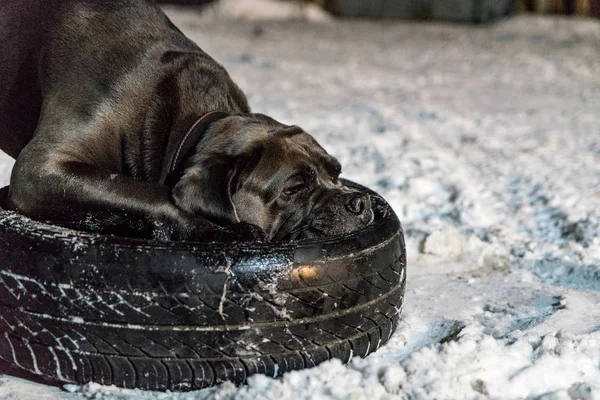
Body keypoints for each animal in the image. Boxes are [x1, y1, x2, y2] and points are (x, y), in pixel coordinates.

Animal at [1, 0, 376, 242]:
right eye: (294, 188)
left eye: (337, 172)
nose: (359, 202)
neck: (184, 127)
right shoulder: (42, 169)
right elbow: (148, 192)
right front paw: (220, 228)